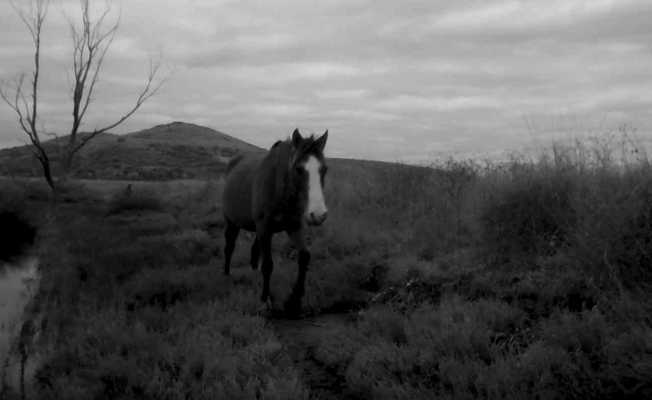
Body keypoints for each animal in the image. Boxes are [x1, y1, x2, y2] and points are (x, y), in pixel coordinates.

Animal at [222, 128, 328, 316]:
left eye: (324, 169)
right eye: (299, 169)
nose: (318, 215)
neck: (279, 188)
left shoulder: (294, 226)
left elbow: (304, 256)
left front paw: (296, 298)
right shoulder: (264, 228)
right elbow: (268, 265)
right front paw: (265, 299)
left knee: (254, 251)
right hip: (232, 223)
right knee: (229, 247)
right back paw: (227, 274)